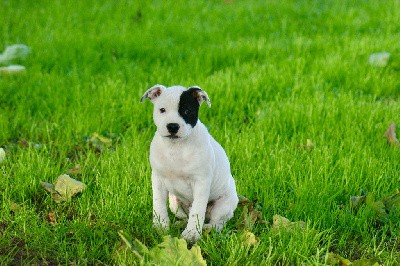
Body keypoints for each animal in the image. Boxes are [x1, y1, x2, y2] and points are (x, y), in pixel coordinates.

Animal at [141, 84, 238, 242]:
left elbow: (198, 210)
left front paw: (191, 234)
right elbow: (158, 204)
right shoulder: (158, 179)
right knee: (183, 213)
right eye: (162, 110)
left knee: (218, 221)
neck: (175, 147)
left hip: (223, 205)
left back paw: (208, 228)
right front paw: (160, 227)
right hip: (174, 202)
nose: (172, 126)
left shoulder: (201, 182)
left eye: (187, 111)